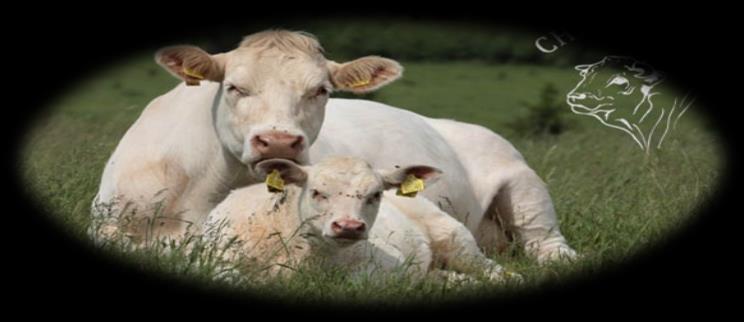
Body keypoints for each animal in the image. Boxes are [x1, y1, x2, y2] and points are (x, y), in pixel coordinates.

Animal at [202, 157, 516, 282]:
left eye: (375, 194)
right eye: (316, 192)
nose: (349, 226)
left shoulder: (385, 268)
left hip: (457, 240)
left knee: (496, 272)